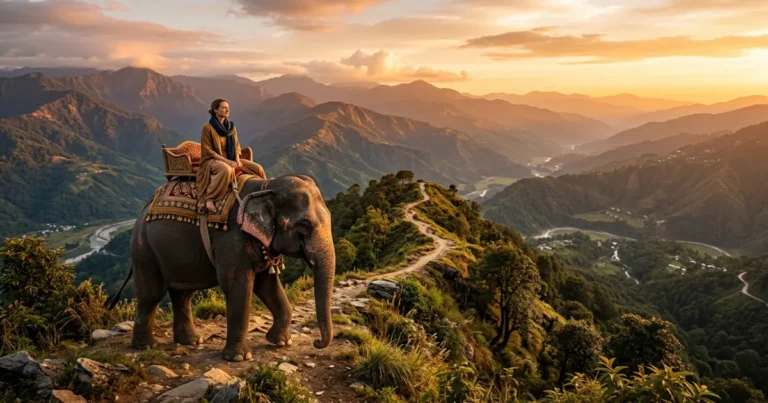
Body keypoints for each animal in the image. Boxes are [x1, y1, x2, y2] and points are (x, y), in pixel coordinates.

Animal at [107, 175, 335, 361]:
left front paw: (281, 342)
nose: (317, 342)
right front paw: (239, 358)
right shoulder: (231, 240)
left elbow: (268, 285)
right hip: (144, 249)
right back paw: (146, 346)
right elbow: (238, 286)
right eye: (304, 225)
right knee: (152, 295)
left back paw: (191, 342)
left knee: (183, 295)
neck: (266, 186)